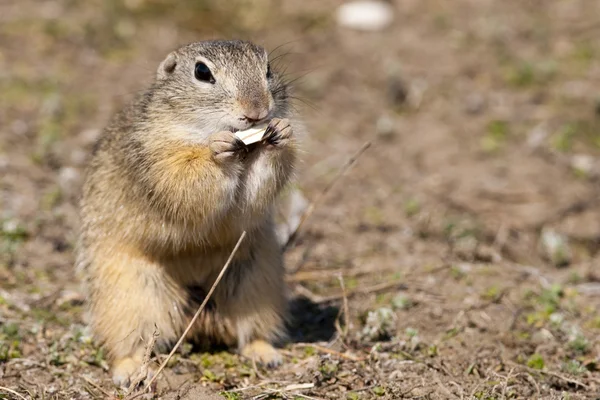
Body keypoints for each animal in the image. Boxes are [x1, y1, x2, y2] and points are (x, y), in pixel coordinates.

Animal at [76, 39, 298, 384]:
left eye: (268, 68)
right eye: (202, 72)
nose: (257, 112)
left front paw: (281, 133)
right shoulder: (158, 157)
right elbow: (185, 179)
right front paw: (218, 150)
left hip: (258, 282)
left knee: (250, 330)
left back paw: (265, 354)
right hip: (128, 296)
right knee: (126, 343)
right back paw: (130, 371)